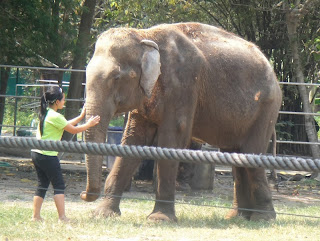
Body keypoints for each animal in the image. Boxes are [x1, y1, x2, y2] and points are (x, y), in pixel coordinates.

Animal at [81, 22, 282, 222]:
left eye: (116, 77)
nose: (83, 195)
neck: (145, 36)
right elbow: (133, 141)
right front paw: (102, 214)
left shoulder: (183, 85)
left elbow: (172, 139)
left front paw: (159, 219)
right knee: (236, 157)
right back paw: (237, 217)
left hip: (266, 109)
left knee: (252, 154)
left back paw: (263, 218)